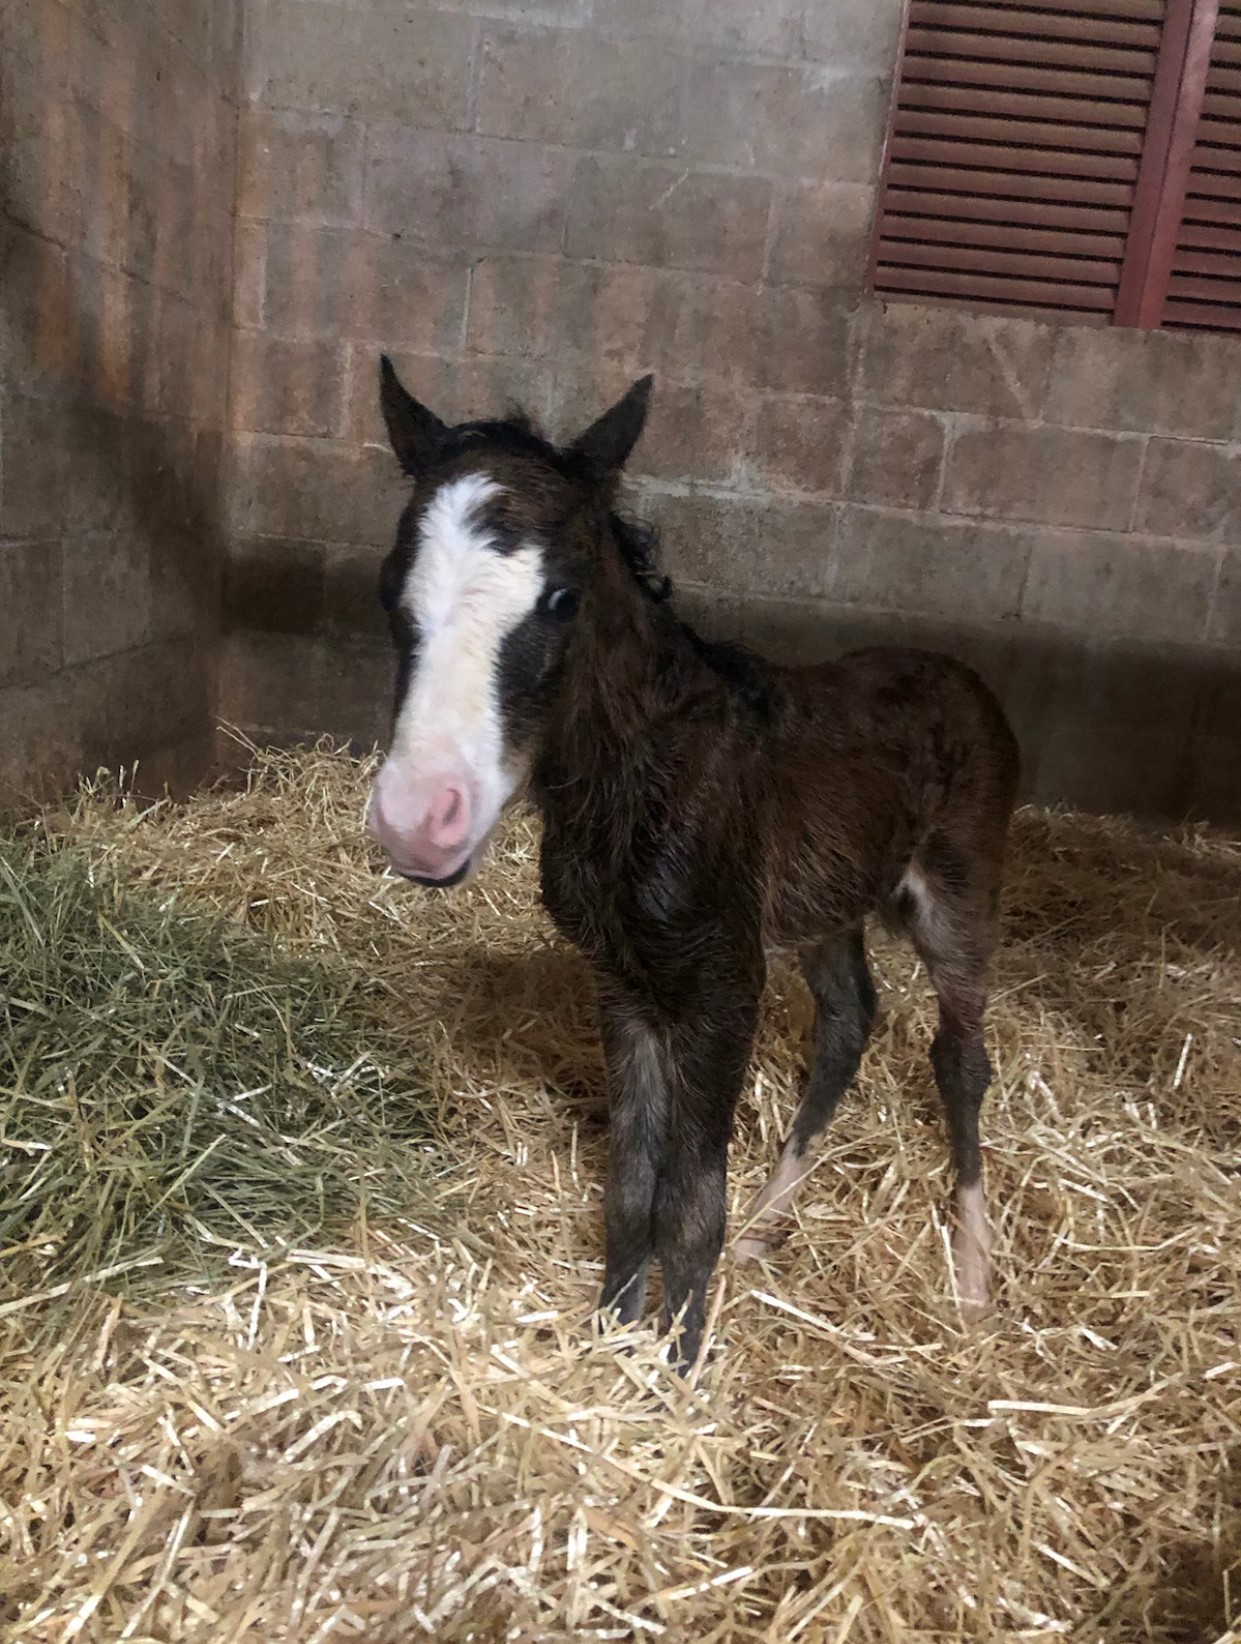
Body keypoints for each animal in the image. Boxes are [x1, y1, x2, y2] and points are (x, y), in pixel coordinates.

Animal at [366, 363, 1019, 1374]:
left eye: (563, 598)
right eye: (388, 590)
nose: (416, 821)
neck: (640, 783)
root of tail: (965, 677)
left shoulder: (721, 985)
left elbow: (690, 1201)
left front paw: (678, 1368)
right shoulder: (625, 982)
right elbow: (633, 1188)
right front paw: (613, 1337)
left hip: (957, 894)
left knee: (958, 1057)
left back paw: (974, 1273)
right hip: (826, 905)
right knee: (848, 1022)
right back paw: (768, 1226)